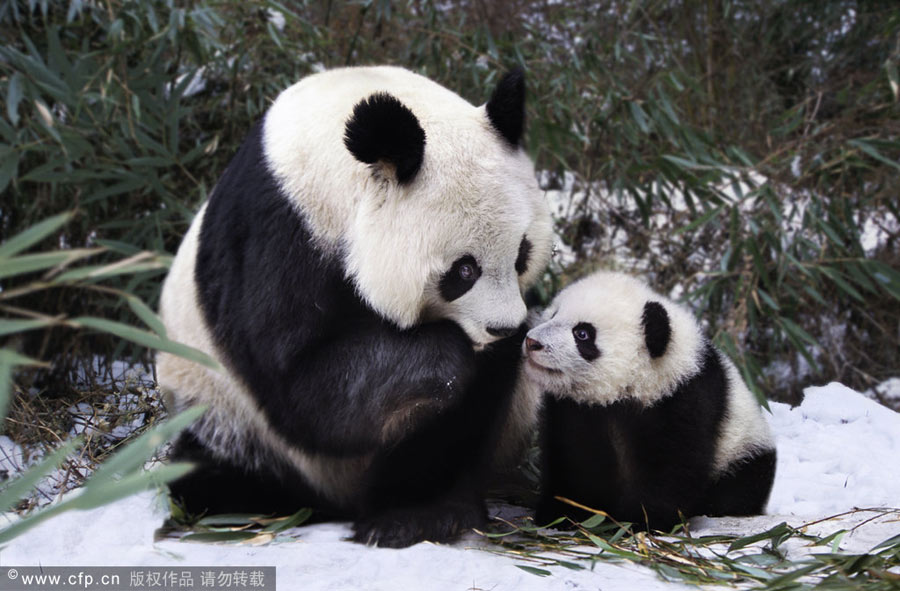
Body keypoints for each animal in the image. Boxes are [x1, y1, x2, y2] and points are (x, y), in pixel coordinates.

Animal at [160, 67, 556, 548]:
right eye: (464, 270)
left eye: (522, 254)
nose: (503, 327)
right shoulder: (275, 244)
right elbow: (308, 394)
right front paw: (446, 356)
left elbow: (466, 409)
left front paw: (422, 510)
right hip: (220, 408)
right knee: (213, 470)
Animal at [524, 272, 776, 532]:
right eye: (553, 314)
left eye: (582, 333)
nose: (532, 342)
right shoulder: (575, 409)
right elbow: (575, 458)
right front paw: (562, 513)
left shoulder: (682, 399)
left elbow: (671, 468)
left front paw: (641, 520)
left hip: (743, 452)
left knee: (737, 489)